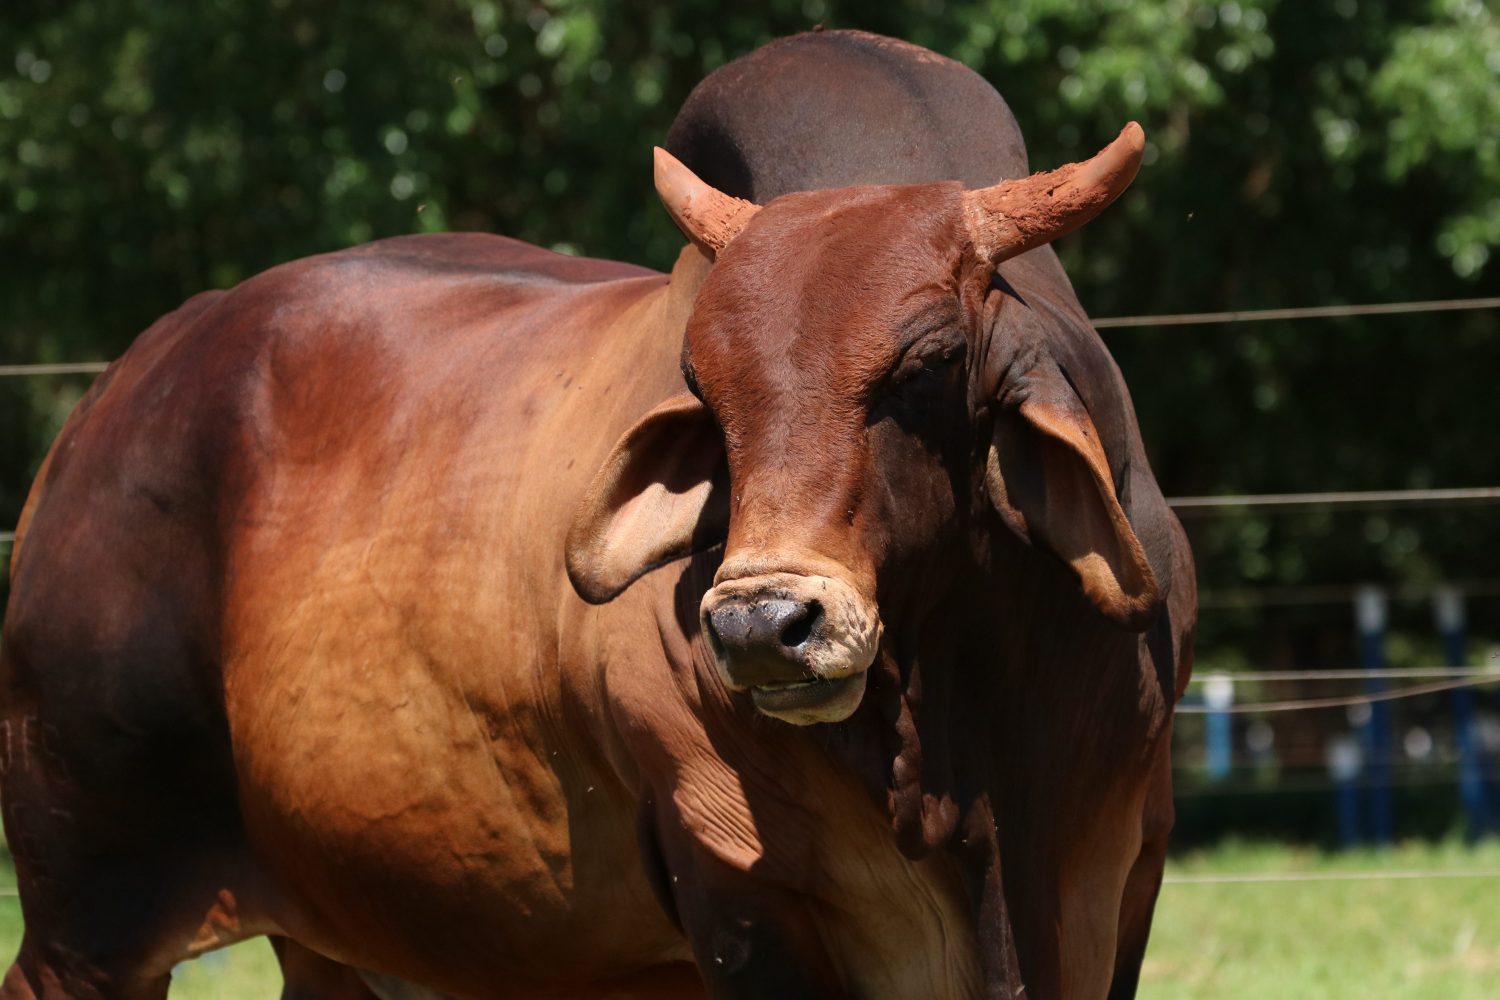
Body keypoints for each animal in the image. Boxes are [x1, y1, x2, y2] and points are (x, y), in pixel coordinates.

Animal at [0, 37, 1194, 1000]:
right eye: (703, 387)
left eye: (931, 362)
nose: (762, 627)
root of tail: (109, 404)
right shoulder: (741, 889)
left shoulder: (1122, 875)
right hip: (84, 912)